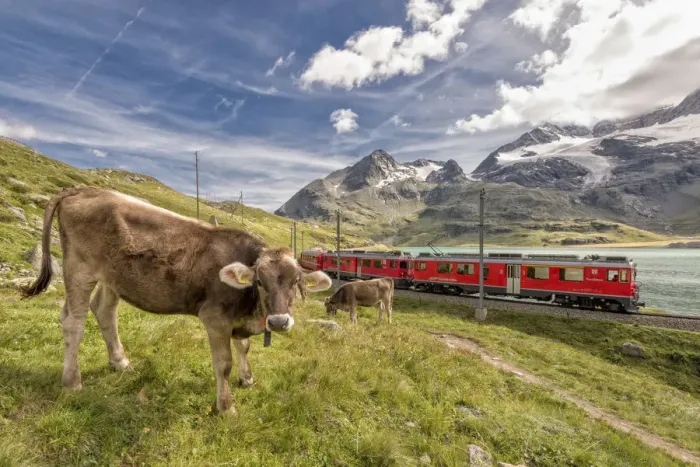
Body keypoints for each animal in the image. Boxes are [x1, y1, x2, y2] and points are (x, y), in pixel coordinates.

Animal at [20, 186, 332, 417]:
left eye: (296, 281)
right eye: (260, 282)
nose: (278, 322)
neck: (252, 310)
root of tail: (82, 190)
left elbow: (244, 347)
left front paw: (247, 379)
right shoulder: (215, 318)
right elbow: (224, 363)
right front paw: (226, 407)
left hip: (113, 277)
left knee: (104, 311)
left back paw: (120, 362)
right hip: (79, 270)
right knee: (73, 321)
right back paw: (73, 382)